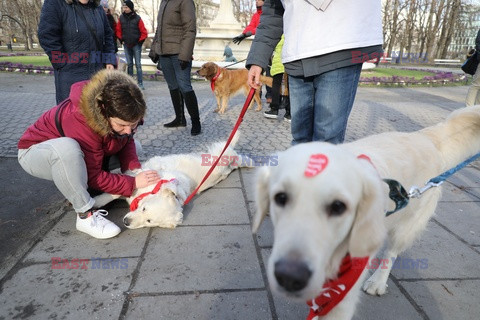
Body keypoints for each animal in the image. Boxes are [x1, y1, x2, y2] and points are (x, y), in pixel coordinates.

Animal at [95, 134, 249, 229]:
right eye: (144, 208)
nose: (126, 222)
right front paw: (96, 201)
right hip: (217, 155)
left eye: (149, 221)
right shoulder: (140, 175)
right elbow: (114, 191)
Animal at [251, 105, 480, 320]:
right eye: (280, 198)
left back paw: (377, 281)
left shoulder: (341, 300)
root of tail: (426, 137)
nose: (290, 277)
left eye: (338, 207)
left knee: (391, 253)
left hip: (407, 226)